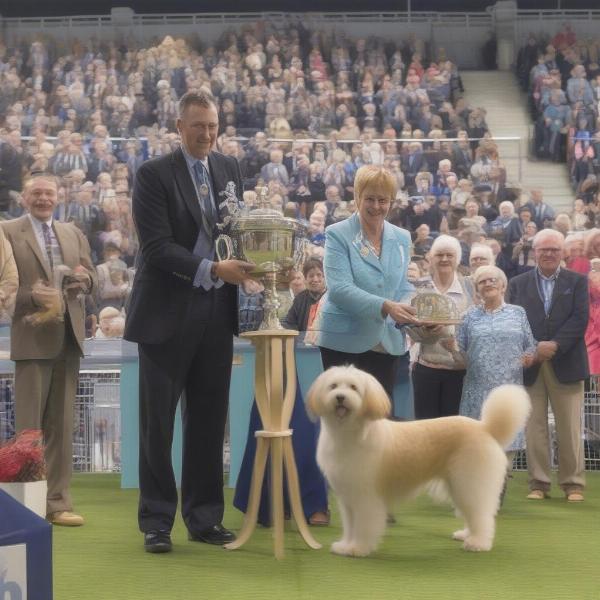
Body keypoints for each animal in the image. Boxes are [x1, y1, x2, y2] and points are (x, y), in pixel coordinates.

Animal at [308, 366, 532, 556]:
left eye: (354, 387)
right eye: (333, 386)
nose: (340, 397)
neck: (349, 433)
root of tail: (486, 428)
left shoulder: (365, 497)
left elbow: (363, 526)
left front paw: (358, 549)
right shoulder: (348, 497)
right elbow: (350, 526)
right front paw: (344, 546)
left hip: (470, 482)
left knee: (482, 515)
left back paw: (477, 543)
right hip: (461, 486)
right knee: (474, 513)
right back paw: (465, 535)